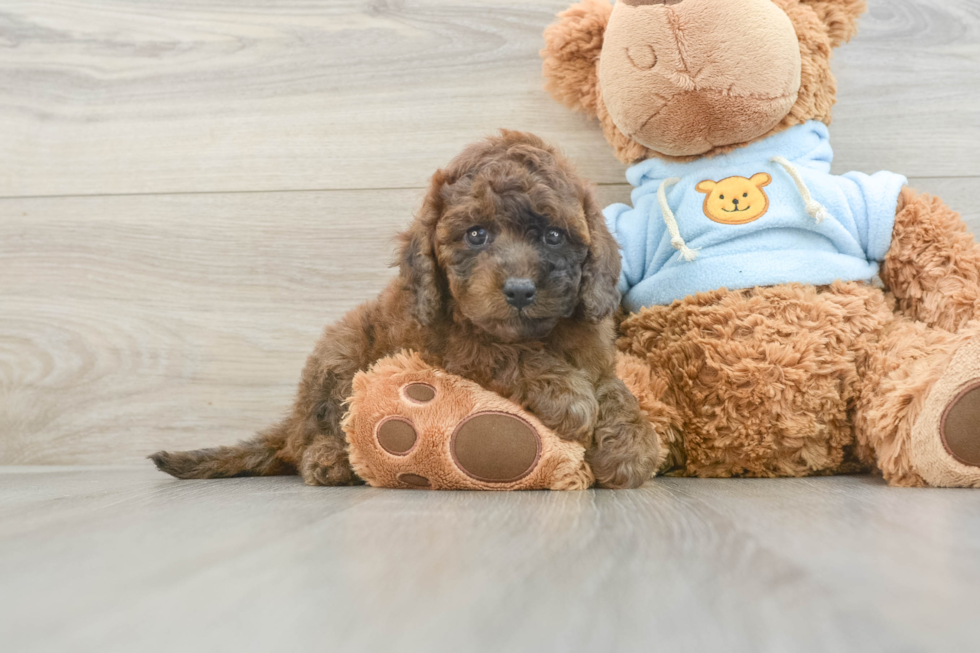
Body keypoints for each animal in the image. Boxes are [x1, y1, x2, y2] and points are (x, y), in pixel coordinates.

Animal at [151, 130, 660, 488]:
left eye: (554, 236)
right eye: (476, 234)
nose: (519, 290)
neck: (539, 334)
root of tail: (290, 421)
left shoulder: (594, 352)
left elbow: (614, 389)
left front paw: (630, 441)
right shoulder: (448, 343)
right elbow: (505, 354)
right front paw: (568, 395)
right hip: (340, 352)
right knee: (311, 439)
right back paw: (329, 460)